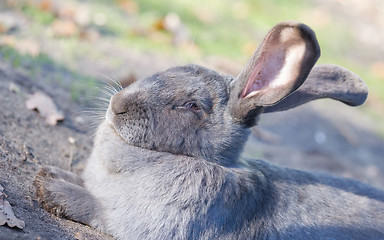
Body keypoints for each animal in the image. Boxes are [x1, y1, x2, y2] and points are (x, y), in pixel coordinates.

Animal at [33, 21, 384, 239]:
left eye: (191, 106)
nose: (117, 104)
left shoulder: (134, 222)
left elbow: (93, 207)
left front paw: (50, 187)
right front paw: (51, 173)